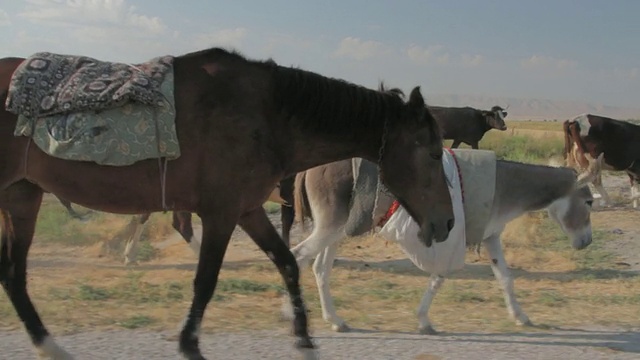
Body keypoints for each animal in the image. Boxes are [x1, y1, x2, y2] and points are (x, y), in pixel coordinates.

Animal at [0, 47, 456, 360]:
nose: (447, 223)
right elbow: (206, 281)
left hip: (22, 195)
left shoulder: (248, 209)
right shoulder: (220, 214)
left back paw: (49, 345)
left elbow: (288, 264)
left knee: (13, 276)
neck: (266, 115)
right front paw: (190, 344)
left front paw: (304, 337)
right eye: (435, 153)